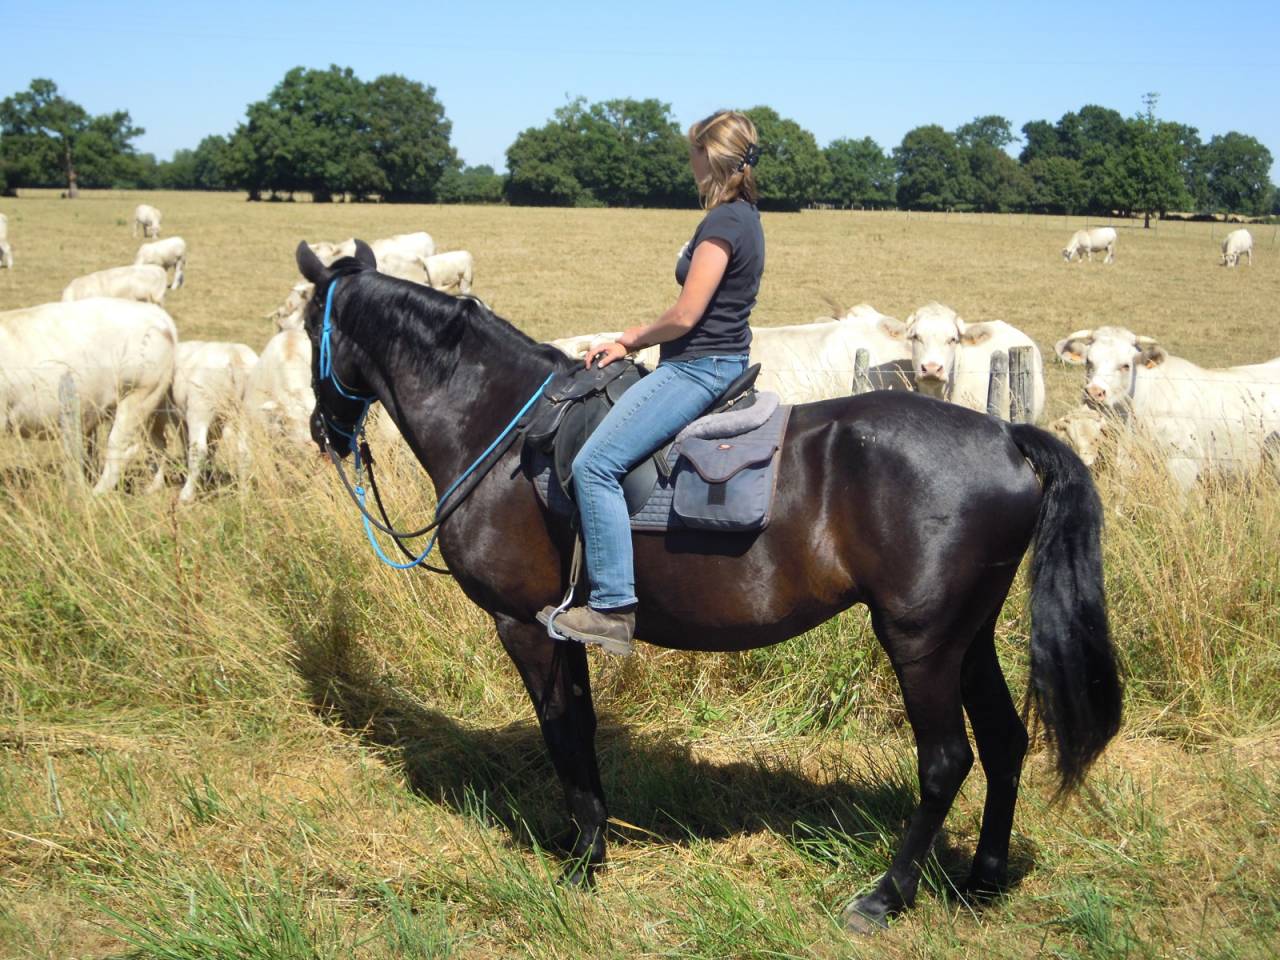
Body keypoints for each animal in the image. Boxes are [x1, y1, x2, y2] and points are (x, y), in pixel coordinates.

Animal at [294, 240, 1122, 934]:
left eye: (308, 329)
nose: (322, 431)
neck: (501, 430)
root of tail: (1005, 435)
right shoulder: (566, 626)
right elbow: (581, 727)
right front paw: (586, 837)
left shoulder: (523, 624)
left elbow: (561, 730)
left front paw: (582, 859)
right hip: (967, 634)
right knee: (1008, 741)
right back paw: (981, 880)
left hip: (920, 640)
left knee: (947, 760)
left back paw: (885, 895)